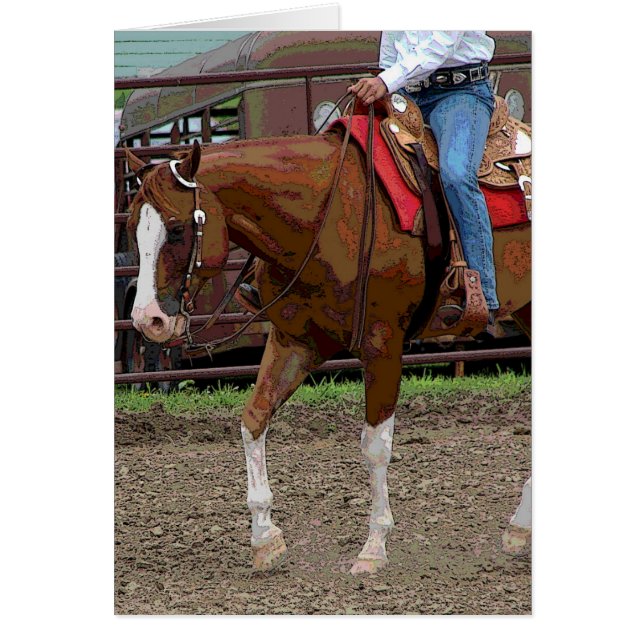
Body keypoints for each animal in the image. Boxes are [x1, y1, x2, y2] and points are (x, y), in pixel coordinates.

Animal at [124, 126, 530, 575]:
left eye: (178, 229)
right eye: (131, 229)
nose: (147, 320)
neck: (328, 216)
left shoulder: (383, 345)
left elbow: (375, 446)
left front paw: (373, 547)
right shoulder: (295, 342)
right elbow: (254, 419)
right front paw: (265, 538)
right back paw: (520, 528)